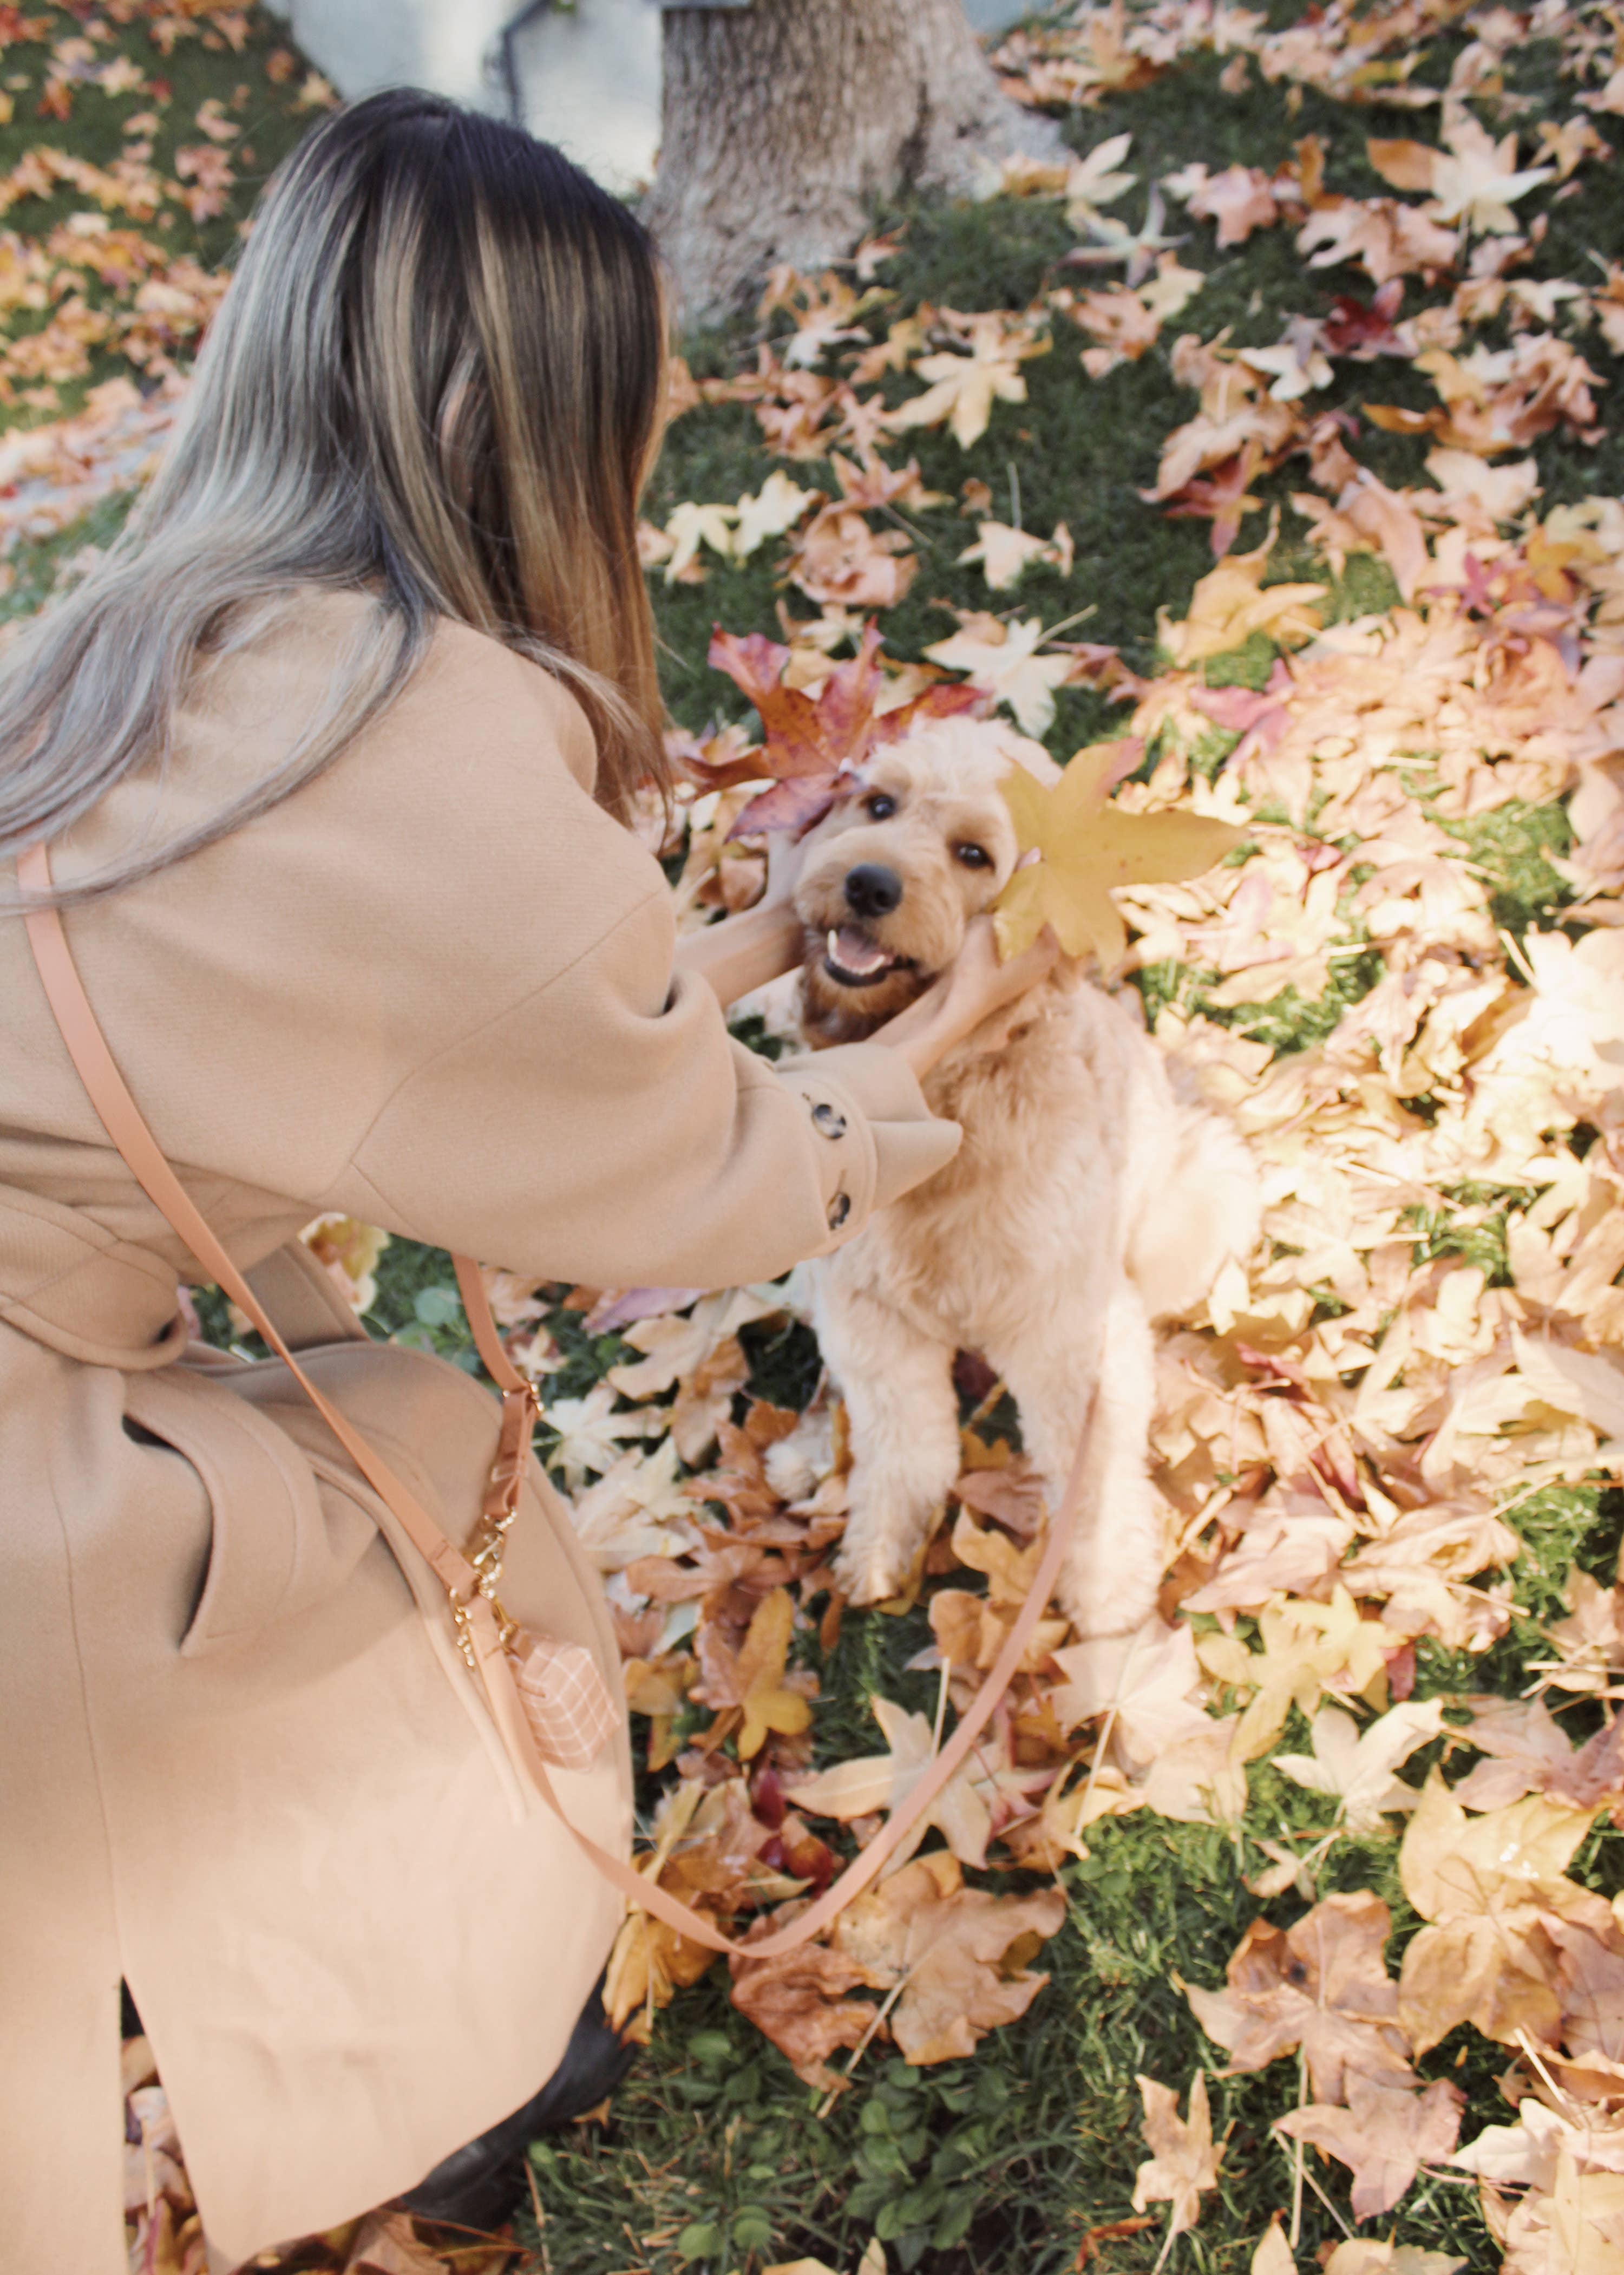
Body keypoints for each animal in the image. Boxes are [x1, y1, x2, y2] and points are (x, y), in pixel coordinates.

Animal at [791, 718, 1255, 1629]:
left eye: (974, 853)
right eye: (880, 804)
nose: (866, 883)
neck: (950, 1094)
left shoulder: (1070, 1329)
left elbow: (1093, 1471)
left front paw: (1108, 1588)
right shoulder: (868, 1313)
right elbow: (903, 1439)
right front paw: (881, 1542)